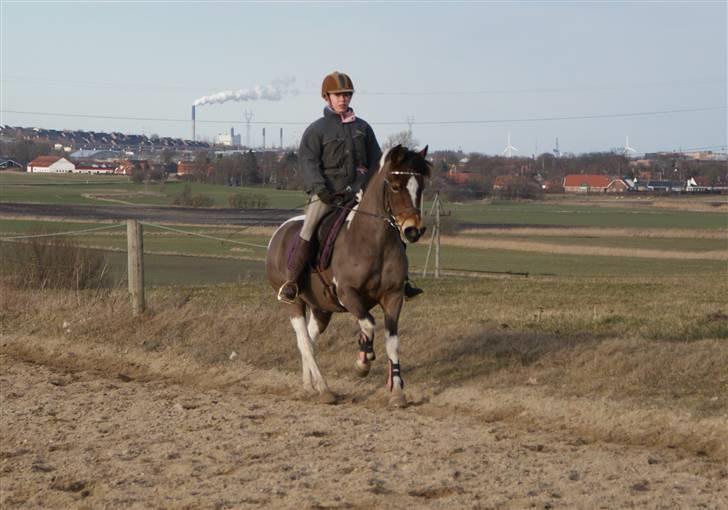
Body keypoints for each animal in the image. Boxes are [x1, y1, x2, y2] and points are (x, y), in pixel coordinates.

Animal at [264, 145, 430, 408]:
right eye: (395, 186)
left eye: (420, 186)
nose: (413, 230)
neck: (373, 241)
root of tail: (278, 234)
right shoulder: (348, 294)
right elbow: (369, 324)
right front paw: (362, 363)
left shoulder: (393, 297)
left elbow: (392, 342)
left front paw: (397, 392)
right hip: (294, 302)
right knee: (304, 342)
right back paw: (324, 389)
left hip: (321, 309)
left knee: (310, 340)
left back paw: (309, 386)